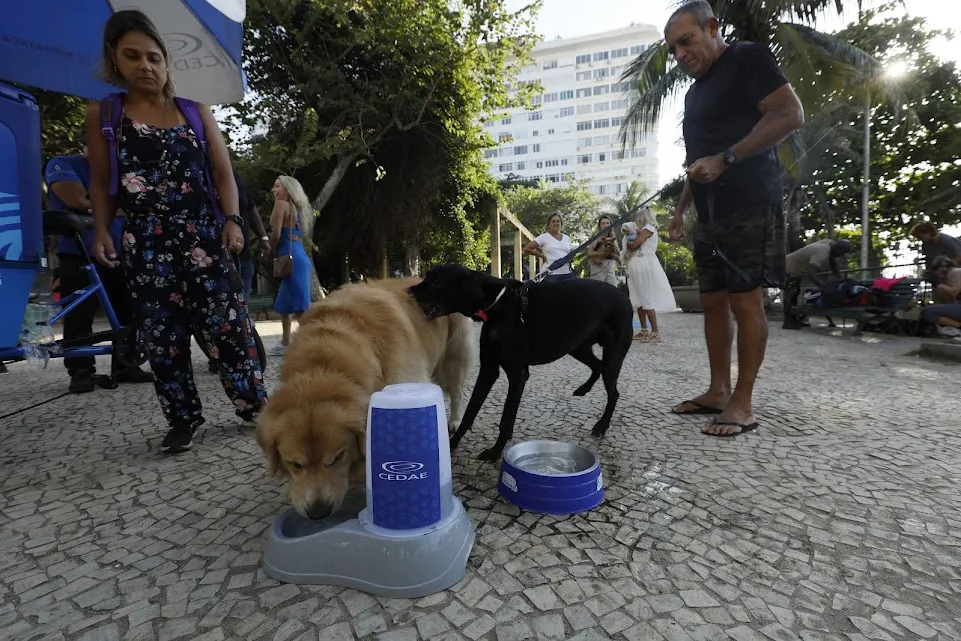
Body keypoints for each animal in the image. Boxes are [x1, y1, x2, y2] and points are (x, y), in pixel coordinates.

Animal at [255, 276, 472, 520]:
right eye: (295, 464)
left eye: (337, 457)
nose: (318, 513)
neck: (324, 362)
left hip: (452, 359)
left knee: (457, 392)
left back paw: (454, 421)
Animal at [408, 264, 632, 460]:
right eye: (427, 276)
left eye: (438, 282)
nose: (409, 291)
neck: (498, 303)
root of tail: (624, 296)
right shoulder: (488, 369)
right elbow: (470, 411)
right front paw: (453, 443)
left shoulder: (518, 375)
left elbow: (506, 420)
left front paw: (495, 451)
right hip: (578, 347)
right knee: (597, 366)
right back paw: (584, 389)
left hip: (611, 357)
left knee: (613, 392)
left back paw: (602, 425)